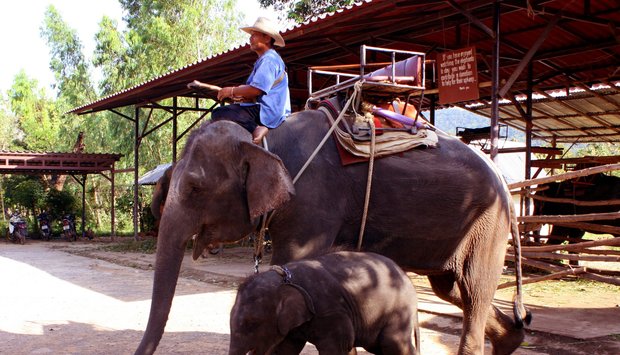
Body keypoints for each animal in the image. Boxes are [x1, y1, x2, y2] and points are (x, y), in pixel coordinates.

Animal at [229, 252, 422, 354]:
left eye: (252, 323)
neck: (285, 278)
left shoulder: (330, 312)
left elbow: (337, 347)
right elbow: (286, 348)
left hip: (399, 311)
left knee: (392, 342)